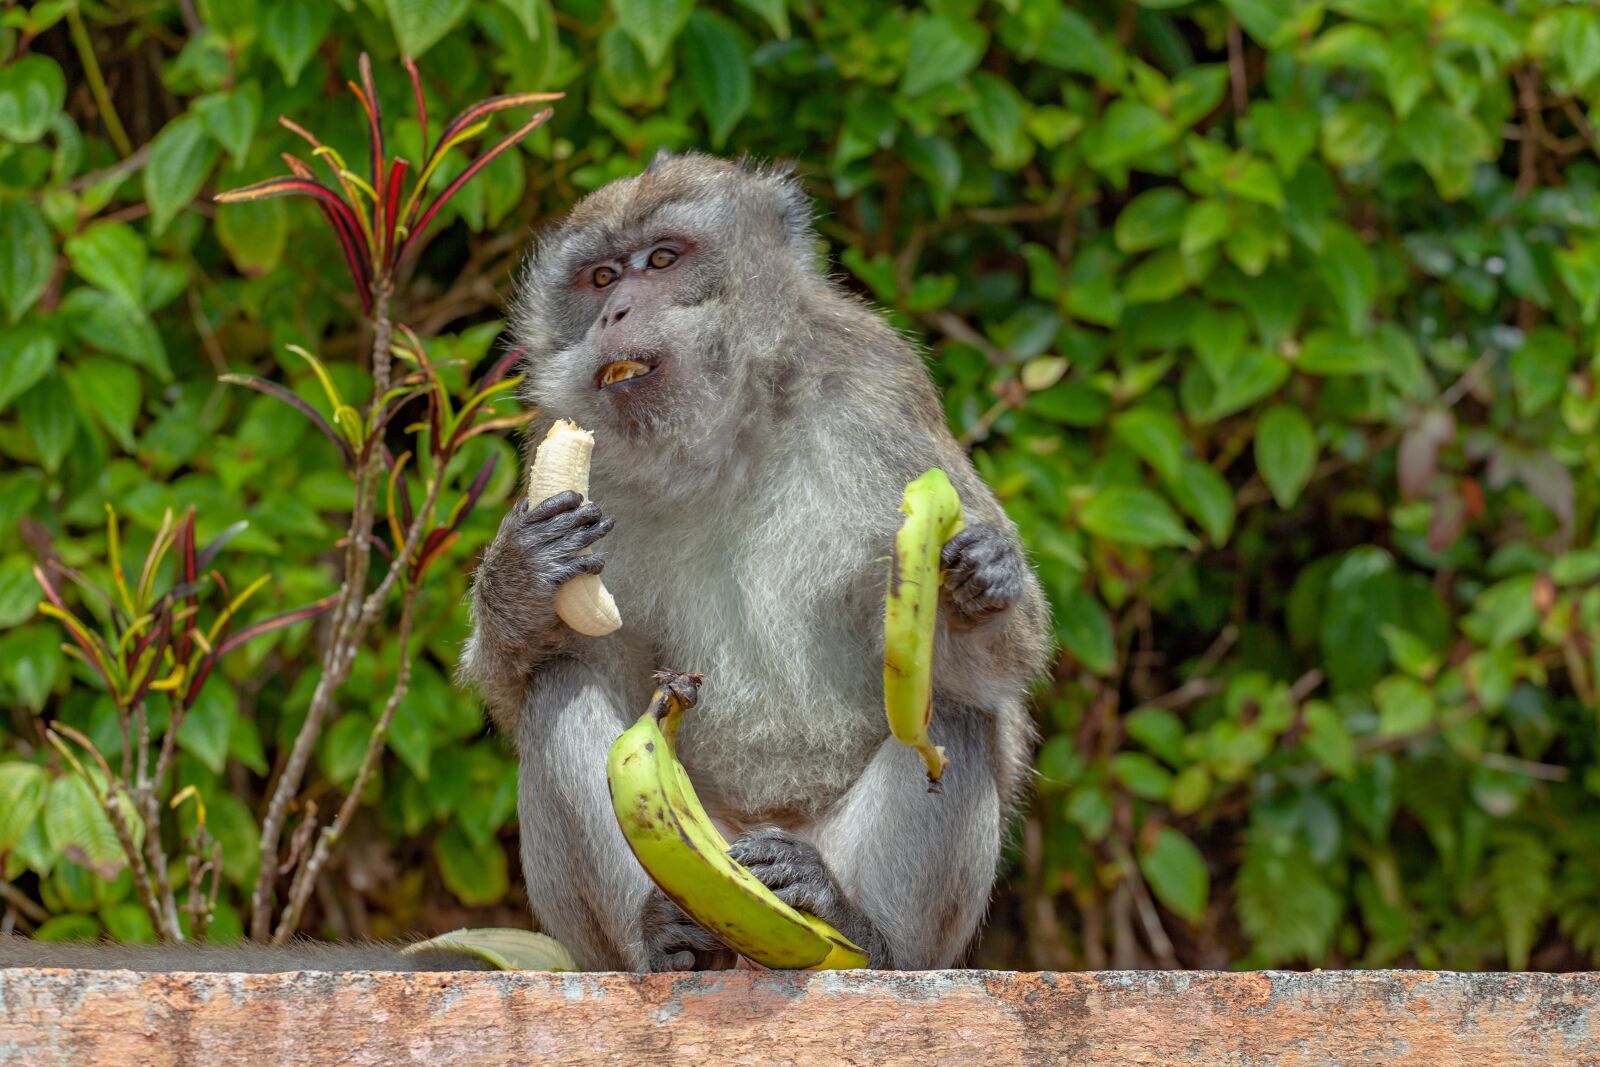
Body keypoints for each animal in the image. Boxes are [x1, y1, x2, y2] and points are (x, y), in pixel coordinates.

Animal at [457, 154, 1049, 972]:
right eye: (601, 277)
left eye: (663, 260)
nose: (615, 314)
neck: (724, 438)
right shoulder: (563, 437)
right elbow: (522, 690)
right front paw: (519, 578)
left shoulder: (881, 394)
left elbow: (1004, 674)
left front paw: (976, 584)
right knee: (558, 689)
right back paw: (662, 939)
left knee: (954, 713)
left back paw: (857, 926)